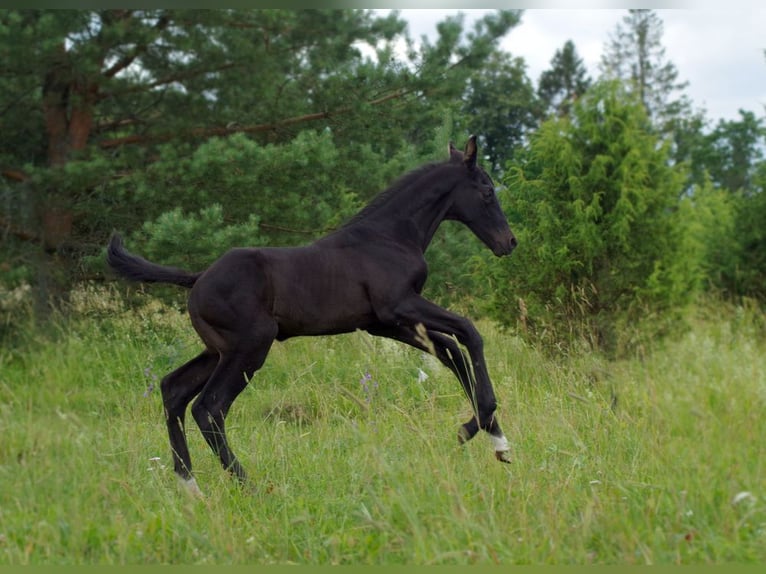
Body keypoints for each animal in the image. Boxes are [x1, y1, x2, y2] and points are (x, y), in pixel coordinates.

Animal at [106, 137, 516, 498]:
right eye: (487, 191)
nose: (508, 243)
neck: (390, 236)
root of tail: (197, 278)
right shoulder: (399, 306)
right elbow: (469, 332)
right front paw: (479, 426)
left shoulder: (384, 323)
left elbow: (451, 352)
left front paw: (493, 439)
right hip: (250, 347)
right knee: (209, 408)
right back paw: (249, 486)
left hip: (218, 350)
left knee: (173, 389)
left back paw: (190, 487)